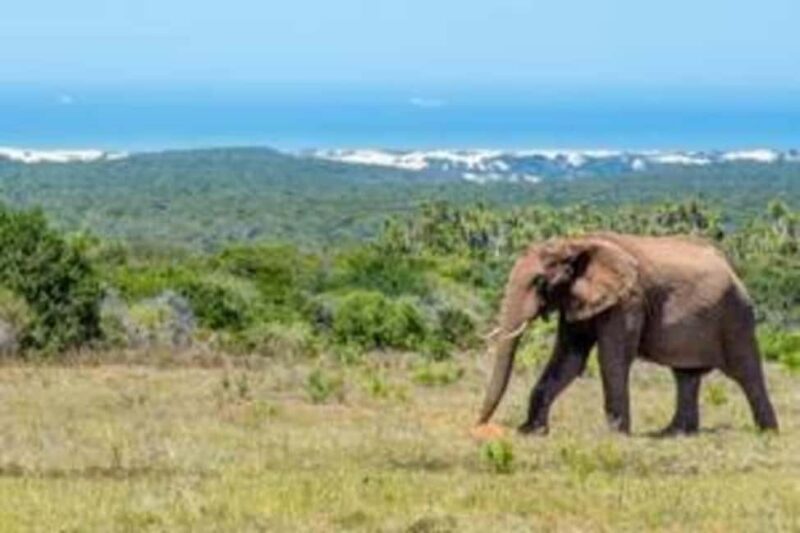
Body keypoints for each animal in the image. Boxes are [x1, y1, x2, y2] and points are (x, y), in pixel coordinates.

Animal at [476, 232, 779, 436]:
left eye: (540, 282)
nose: (480, 426)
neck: (577, 242)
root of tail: (732, 269)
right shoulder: (578, 300)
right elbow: (569, 359)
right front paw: (531, 432)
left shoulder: (628, 300)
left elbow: (612, 358)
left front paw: (615, 435)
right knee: (686, 375)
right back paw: (674, 433)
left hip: (736, 315)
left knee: (746, 372)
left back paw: (767, 433)